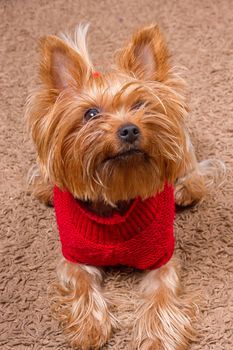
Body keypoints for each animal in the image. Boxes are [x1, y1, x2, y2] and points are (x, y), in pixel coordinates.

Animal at [25, 24, 211, 350]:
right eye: (90, 114)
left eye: (140, 104)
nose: (129, 129)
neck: (115, 191)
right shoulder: (74, 257)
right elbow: (81, 284)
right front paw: (89, 327)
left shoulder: (162, 257)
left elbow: (161, 291)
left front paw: (159, 337)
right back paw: (47, 187)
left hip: (183, 145)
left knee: (189, 166)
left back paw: (186, 189)